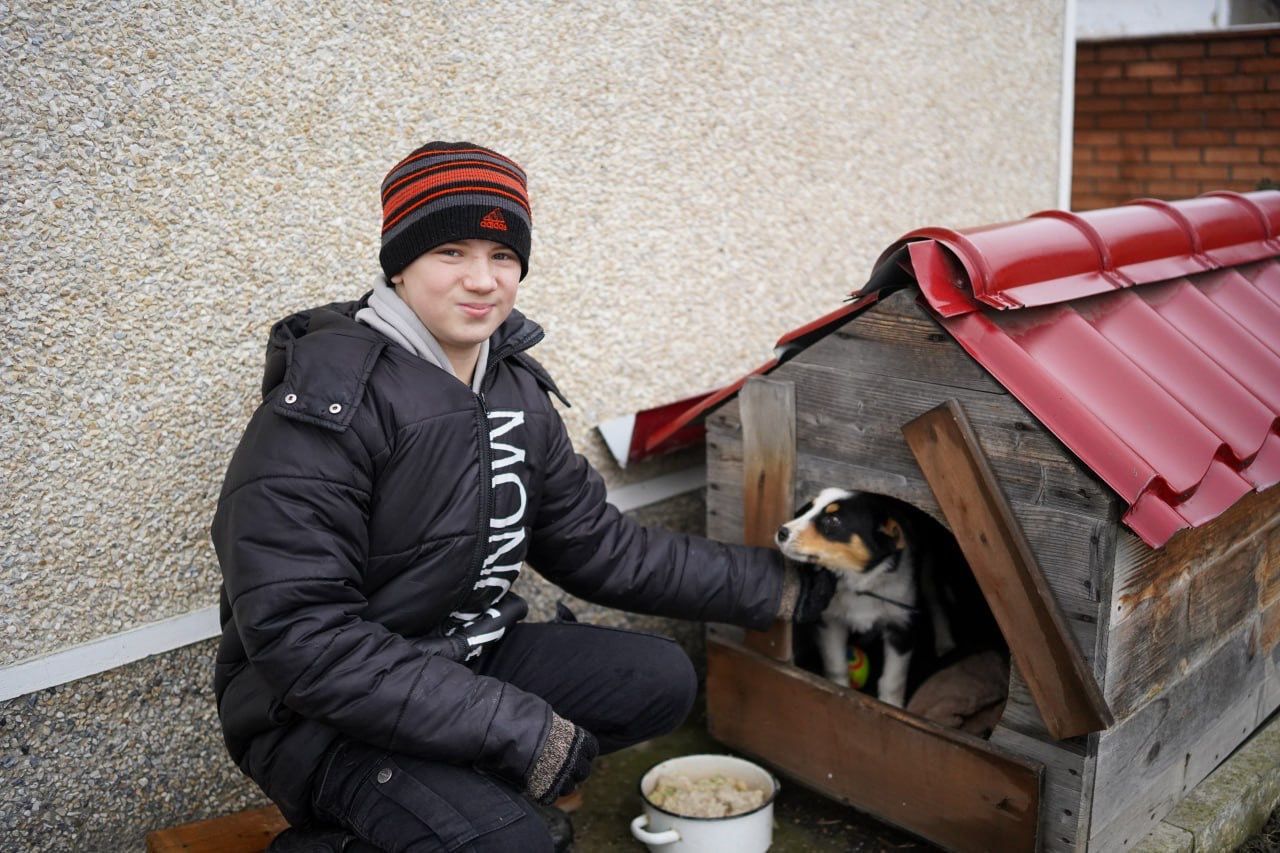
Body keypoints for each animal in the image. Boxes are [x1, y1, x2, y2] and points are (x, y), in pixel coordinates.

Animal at [768, 484, 962, 701]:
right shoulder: (830, 621)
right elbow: (836, 667)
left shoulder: (901, 625)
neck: (860, 583)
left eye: (833, 521)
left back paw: (945, 643)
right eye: (808, 508)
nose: (781, 532)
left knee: (936, 601)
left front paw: (891, 705)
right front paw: (838, 691)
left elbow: (893, 681)